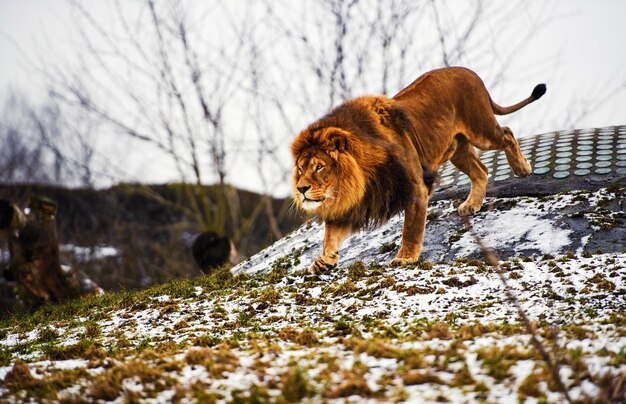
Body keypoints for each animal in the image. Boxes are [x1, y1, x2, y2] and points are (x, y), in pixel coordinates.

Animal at [290, 67, 544, 272]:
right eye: (300, 169)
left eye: (319, 167)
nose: (301, 189)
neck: (361, 178)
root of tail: (469, 72)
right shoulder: (359, 202)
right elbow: (330, 235)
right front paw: (325, 260)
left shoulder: (415, 188)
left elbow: (410, 229)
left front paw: (405, 258)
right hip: (458, 149)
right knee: (480, 170)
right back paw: (471, 204)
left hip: (481, 130)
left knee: (507, 134)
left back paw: (522, 168)